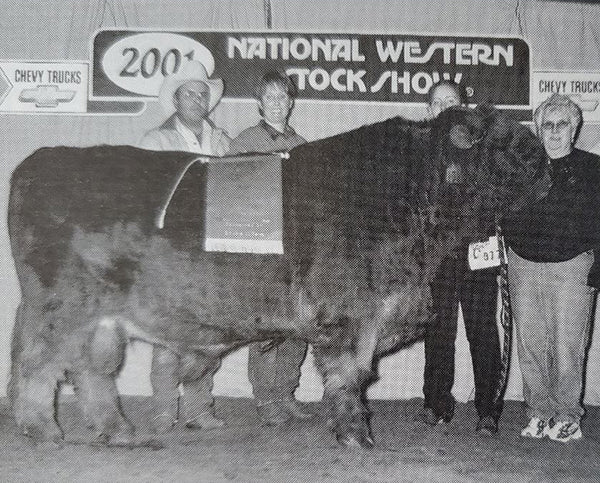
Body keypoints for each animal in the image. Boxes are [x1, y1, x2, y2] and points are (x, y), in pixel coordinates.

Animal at [5, 107, 548, 450]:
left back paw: (115, 430)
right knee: (38, 361)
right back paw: (43, 429)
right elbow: (349, 377)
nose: (546, 169)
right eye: (507, 142)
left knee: (90, 370)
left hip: (100, 318)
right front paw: (357, 435)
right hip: (61, 305)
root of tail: (42, 159)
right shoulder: (352, 316)